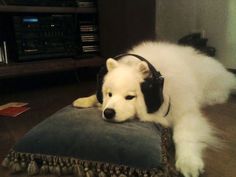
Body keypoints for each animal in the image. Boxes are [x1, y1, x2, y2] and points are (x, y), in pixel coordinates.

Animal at [73, 41, 235, 177]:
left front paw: (188, 162)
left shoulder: (185, 112)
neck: (163, 91)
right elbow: (95, 96)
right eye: (109, 94)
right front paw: (85, 100)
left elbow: (184, 135)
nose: (108, 113)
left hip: (212, 88)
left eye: (130, 97)